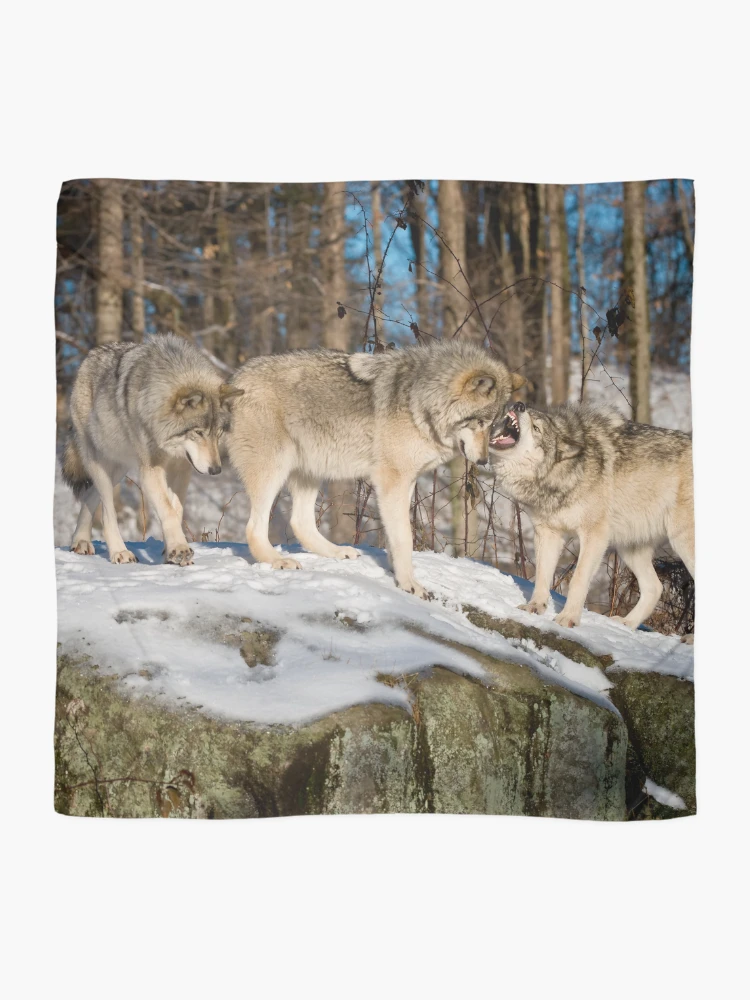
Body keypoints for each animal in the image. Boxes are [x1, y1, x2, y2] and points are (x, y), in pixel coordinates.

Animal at [62, 333, 243, 565]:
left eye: (218, 432)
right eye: (199, 432)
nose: (216, 470)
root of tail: (90, 355)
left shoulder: (182, 469)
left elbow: (175, 509)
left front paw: (171, 551)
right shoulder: (150, 470)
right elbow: (167, 509)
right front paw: (179, 549)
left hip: (120, 470)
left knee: (90, 496)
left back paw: (81, 541)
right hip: (100, 464)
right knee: (107, 511)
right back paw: (119, 551)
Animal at [227, 341, 525, 597]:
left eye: (494, 424)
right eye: (480, 422)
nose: (484, 461)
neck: (420, 403)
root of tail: (234, 379)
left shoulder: (407, 482)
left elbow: (396, 536)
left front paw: (397, 574)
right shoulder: (392, 481)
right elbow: (404, 536)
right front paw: (409, 584)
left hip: (312, 472)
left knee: (300, 523)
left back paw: (336, 552)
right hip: (274, 470)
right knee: (254, 527)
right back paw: (277, 560)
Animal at [489, 401, 694, 634]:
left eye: (536, 428)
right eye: (529, 415)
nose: (519, 404)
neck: (562, 474)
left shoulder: (594, 535)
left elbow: (578, 579)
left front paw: (568, 618)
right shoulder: (548, 533)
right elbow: (542, 575)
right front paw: (535, 606)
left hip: (681, 543)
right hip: (629, 548)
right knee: (655, 587)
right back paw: (627, 624)